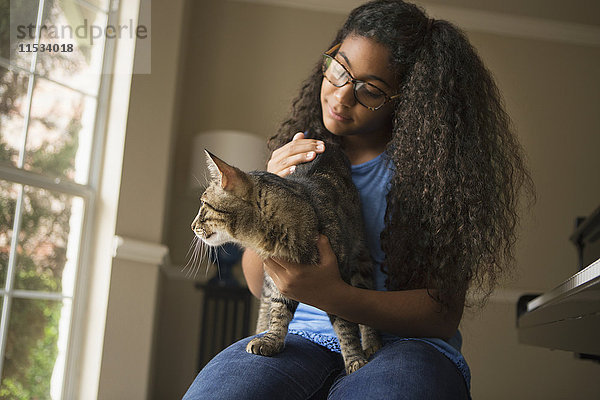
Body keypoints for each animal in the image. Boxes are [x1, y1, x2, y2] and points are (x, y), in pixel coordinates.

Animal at [192, 145, 380, 374]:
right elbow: (278, 311)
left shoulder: (337, 285)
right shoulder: (277, 282)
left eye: (203, 204)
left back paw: (371, 343)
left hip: (362, 260)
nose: (192, 226)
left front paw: (354, 358)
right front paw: (271, 339)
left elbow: (346, 326)